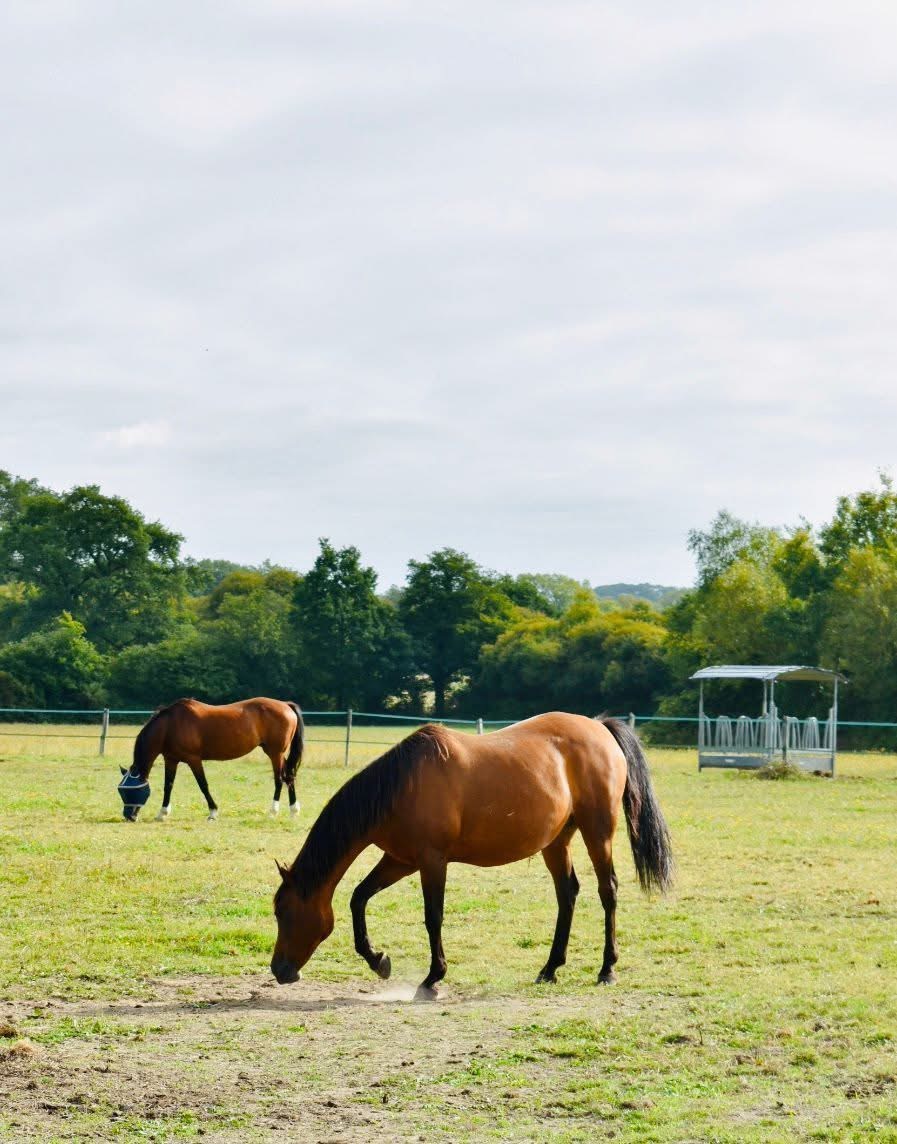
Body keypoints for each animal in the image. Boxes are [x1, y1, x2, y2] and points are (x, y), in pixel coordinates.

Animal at [129, 697, 304, 821]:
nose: (129, 816)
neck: (170, 725)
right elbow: (168, 786)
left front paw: (213, 812)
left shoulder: (194, 760)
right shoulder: (171, 760)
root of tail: (285, 704)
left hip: (275, 753)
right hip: (277, 754)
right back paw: (293, 811)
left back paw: (273, 812)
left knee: (279, 779)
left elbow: (203, 785)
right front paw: (162, 813)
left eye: (128, 790)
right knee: (289, 776)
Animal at [271, 712, 672, 999]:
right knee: (567, 893)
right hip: (557, 841)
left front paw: (433, 978)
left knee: (608, 891)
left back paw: (607, 969)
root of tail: (600, 728)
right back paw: (550, 968)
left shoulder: (431, 862)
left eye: (284, 912)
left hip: (597, 831)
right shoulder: (401, 860)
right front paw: (378, 960)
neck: (402, 784)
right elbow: (358, 898)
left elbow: (433, 916)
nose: (278, 969)